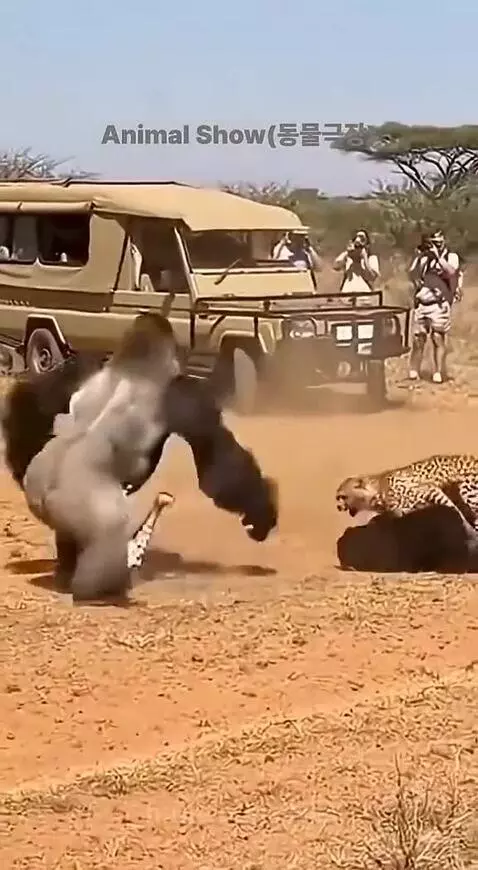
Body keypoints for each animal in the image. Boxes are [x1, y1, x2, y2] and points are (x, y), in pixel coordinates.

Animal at [335, 454, 478, 539]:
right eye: (338, 498)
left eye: (343, 497)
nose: (338, 507)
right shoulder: (405, 510)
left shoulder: (430, 490)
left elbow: (453, 509)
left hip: (468, 493)